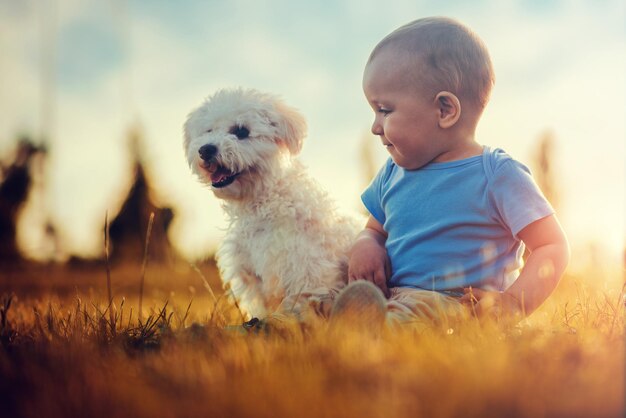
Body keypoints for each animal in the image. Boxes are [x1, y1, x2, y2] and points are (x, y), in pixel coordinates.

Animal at [184, 87, 360, 316]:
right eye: (208, 130)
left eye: (241, 131)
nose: (206, 150)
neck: (263, 202)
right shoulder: (253, 280)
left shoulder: (306, 275)